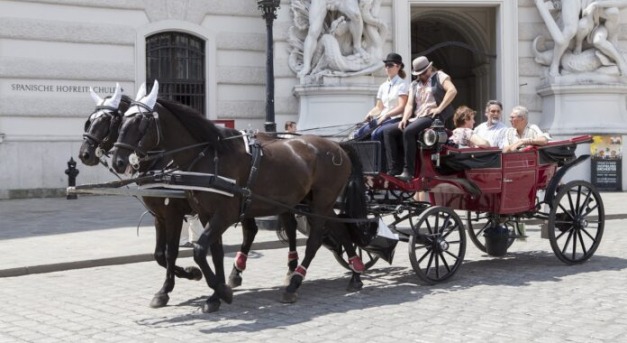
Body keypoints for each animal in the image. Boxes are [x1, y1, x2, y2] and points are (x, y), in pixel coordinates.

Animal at [110, 82, 370, 314]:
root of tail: (338, 146)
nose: (118, 161)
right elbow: (212, 252)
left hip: (321, 201)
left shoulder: (216, 214)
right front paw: (215, 294)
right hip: (313, 202)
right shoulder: (200, 214)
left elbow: (196, 250)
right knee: (339, 227)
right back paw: (355, 273)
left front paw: (220, 290)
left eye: (141, 122)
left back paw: (295, 283)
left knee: (315, 239)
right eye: (121, 121)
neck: (209, 157)